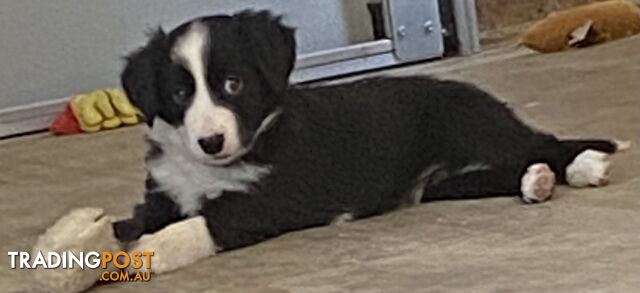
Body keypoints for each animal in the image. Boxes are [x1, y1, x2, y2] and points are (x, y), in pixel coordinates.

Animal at [112, 10, 624, 272]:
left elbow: (213, 219)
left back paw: (584, 165)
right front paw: (121, 233)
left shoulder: (276, 194)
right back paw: (535, 182)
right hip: (442, 184)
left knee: (546, 143)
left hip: (477, 129)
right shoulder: (163, 191)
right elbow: (142, 216)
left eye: (233, 84)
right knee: (508, 169)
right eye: (180, 94)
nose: (211, 141)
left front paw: (157, 249)